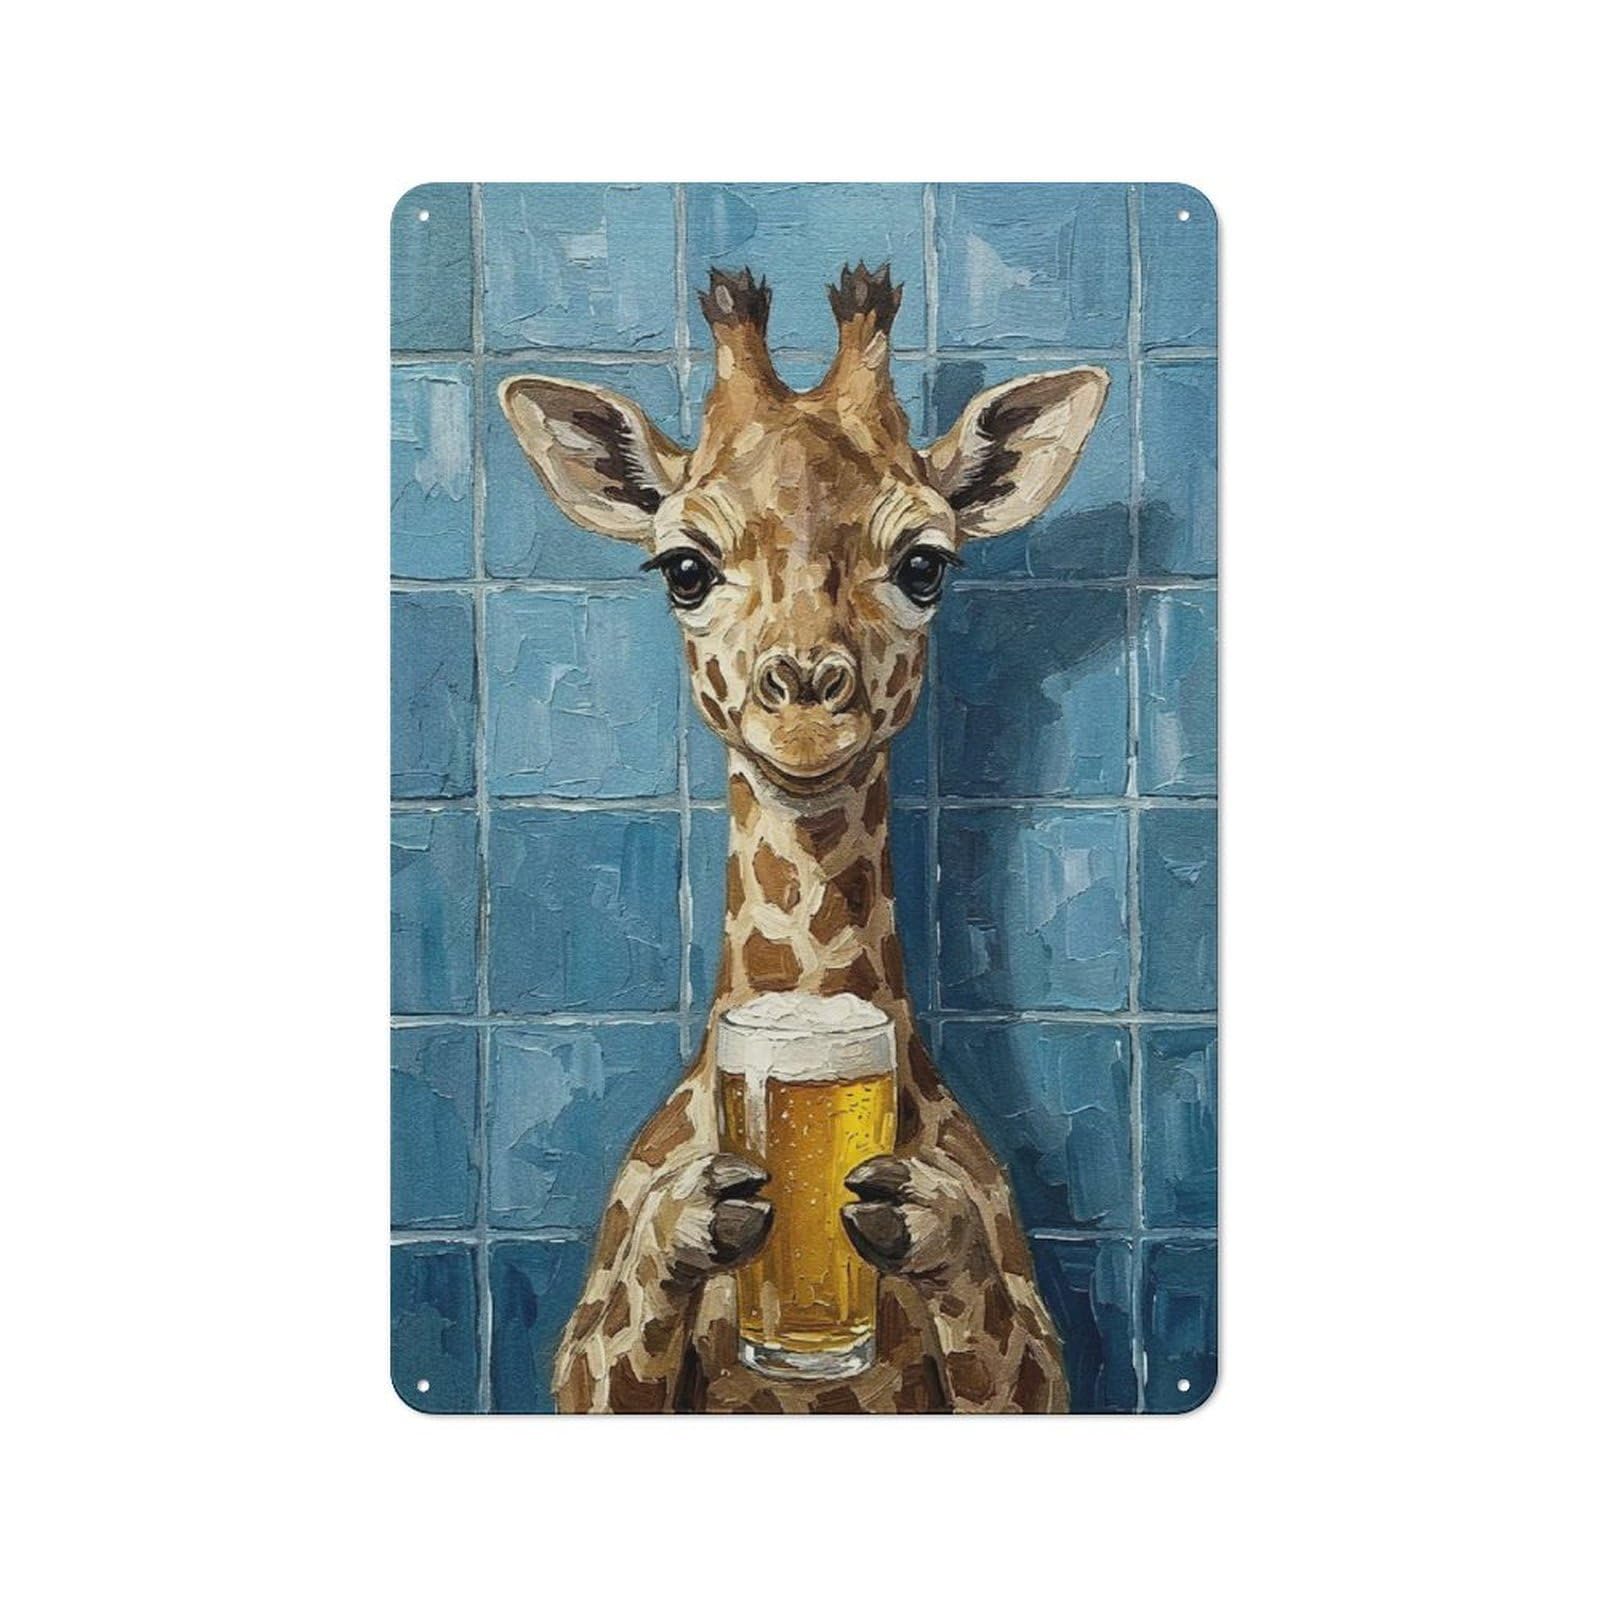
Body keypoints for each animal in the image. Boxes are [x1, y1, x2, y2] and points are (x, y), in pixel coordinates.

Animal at [499, 263, 1110, 1412]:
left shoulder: (1040, 1375)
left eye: (925, 565)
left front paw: (921, 1218)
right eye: (682, 568)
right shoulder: (582, 1373)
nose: (807, 704)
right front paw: (694, 1218)